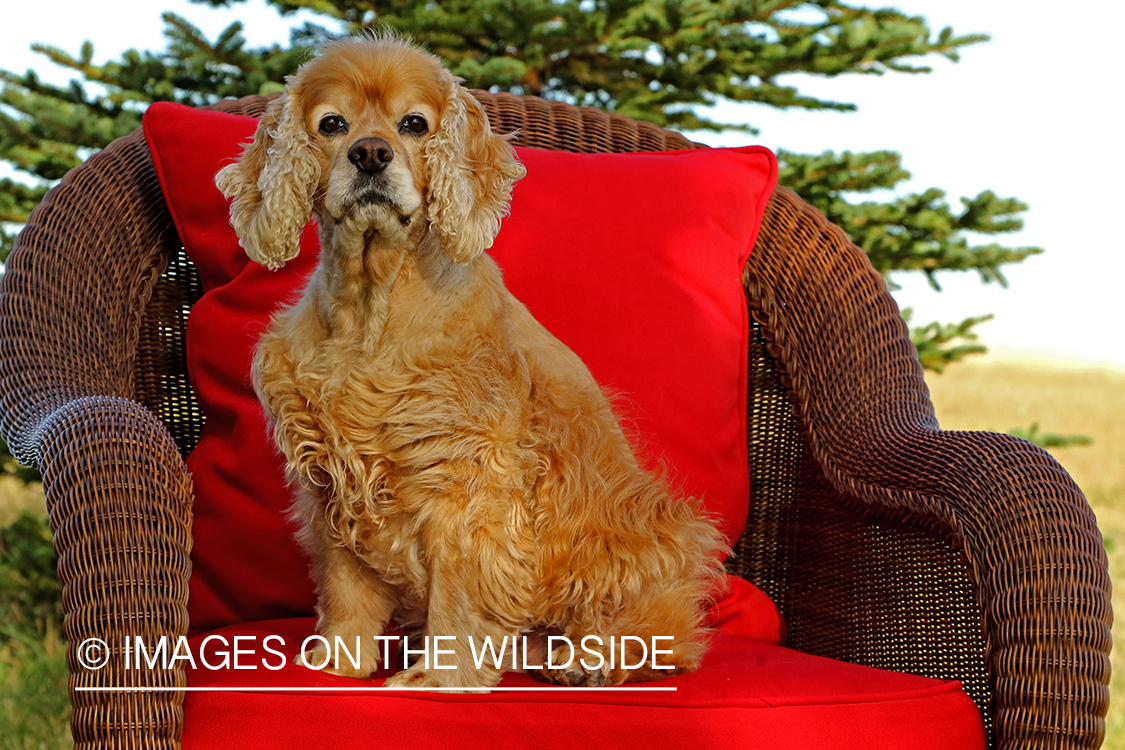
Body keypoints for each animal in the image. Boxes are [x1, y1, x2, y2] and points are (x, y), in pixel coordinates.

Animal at [213, 35, 724, 692]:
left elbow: (458, 592)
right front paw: (338, 661)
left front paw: (439, 677)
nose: (371, 154)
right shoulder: (332, 478)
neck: (371, 314)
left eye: (413, 124)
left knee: (668, 632)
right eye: (332, 124)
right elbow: (346, 585)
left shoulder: (468, 477)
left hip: (642, 539)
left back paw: (589, 660)